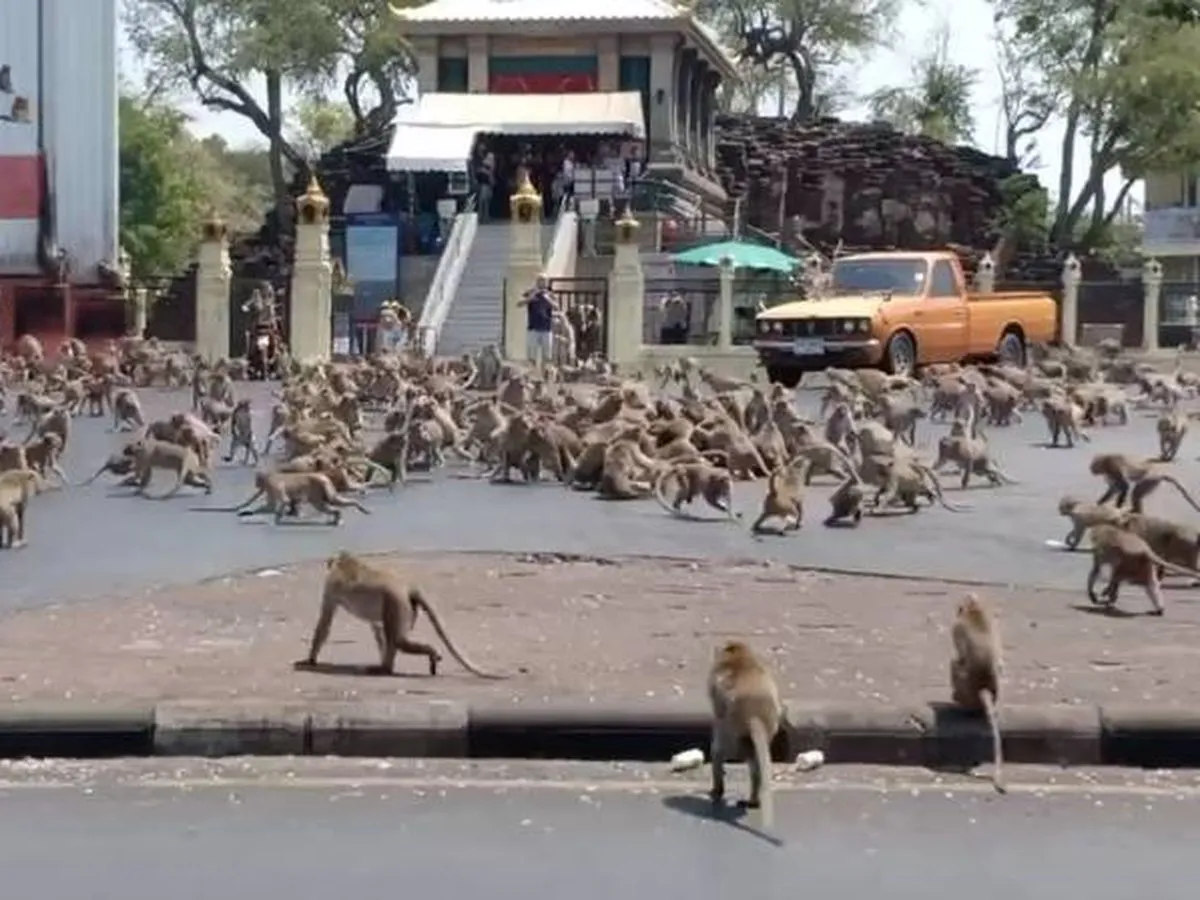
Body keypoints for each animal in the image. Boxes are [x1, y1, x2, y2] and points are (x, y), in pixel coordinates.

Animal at [295, 551, 507, 678]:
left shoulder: (331, 588)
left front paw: (310, 660)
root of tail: (407, 587)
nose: (328, 563)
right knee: (393, 638)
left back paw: (395, 665)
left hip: (397, 602)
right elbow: (377, 628)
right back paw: (386, 666)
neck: (346, 562)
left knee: (398, 641)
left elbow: (324, 623)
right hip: (404, 606)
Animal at [707, 640, 783, 830]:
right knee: (755, 764)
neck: (740, 657)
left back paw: (717, 789)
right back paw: (753, 800)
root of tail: (755, 714)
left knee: (718, 750)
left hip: (733, 733)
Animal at [949, 595, 1006, 795]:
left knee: (955, 664)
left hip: (965, 688)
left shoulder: (956, 627)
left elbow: (959, 656)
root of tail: (984, 686)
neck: (975, 607)